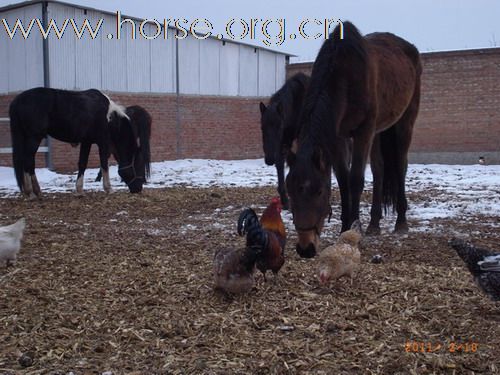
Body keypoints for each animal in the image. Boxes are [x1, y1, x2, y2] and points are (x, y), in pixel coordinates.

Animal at [8, 87, 146, 197]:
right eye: (139, 165)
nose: (138, 189)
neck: (110, 119)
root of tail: (17, 101)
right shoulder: (103, 143)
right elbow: (104, 164)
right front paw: (109, 189)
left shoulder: (86, 142)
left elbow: (82, 163)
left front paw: (79, 190)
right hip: (34, 137)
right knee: (28, 161)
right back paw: (32, 192)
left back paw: (34, 191)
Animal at [260, 72, 310, 210]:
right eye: (262, 127)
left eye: (279, 126)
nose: (269, 159)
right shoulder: (283, 141)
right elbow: (280, 164)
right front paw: (285, 200)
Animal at [286, 21, 422, 258]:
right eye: (290, 191)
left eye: (319, 191)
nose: (305, 248)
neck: (344, 76)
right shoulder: (339, 137)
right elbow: (343, 180)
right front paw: (344, 228)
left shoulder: (363, 132)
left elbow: (355, 179)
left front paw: (354, 229)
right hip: (378, 132)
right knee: (379, 169)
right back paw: (374, 224)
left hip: (404, 123)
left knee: (401, 166)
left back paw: (401, 223)